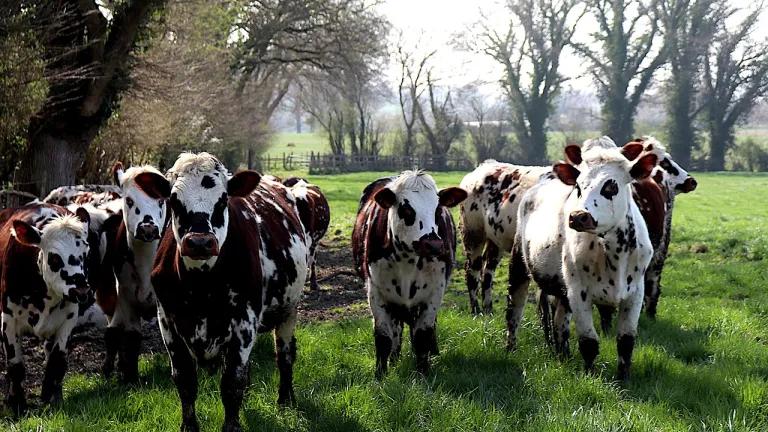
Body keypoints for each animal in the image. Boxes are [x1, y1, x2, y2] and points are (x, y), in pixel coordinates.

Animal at [0, 204, 92, 414]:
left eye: (85, 252)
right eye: (55, 258)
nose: (81, 291)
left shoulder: (68, 319)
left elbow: (57, 362)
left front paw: (52, 397)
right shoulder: (8, 319)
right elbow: (15, 365)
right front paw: (17, 404)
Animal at [150, 152, 308, 432]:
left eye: (223, 200)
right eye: (174, 200)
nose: (200, 242)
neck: (200, 285)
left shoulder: (244, 321)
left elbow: (232, 383)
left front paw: (232, 425)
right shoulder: (167, 321)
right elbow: (185, 380)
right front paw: (189, 426)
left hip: (289, 310)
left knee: (285, 355)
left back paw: (285, 399)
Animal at [352, 171, 466, 378]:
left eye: (438, 210)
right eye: (406, 210)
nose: (433, 245)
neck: (408, 260)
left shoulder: (433, 294)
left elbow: (422, 335)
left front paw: (423, 372)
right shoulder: (376, 293)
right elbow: (383, 337)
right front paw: (381, 374)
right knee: (396, 329)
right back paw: (395, 356)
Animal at [459, 162, 554, 314]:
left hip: (495, 239)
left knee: (487, 270)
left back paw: (488, 310)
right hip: (473, 233)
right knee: (472, 269)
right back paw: (476, 310)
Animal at [509, 138, 657, 381]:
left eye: (611, 186)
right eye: (578, 186)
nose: (578, 216)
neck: (613, 253)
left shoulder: (635, 293)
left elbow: (626, 341)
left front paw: (623, 379)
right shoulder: (579, 293)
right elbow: (589, 342)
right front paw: (590, 376)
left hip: (561, 292)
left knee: (559, 322)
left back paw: (563, 356)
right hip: (519, 264)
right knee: (515, 309)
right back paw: (510, 348)